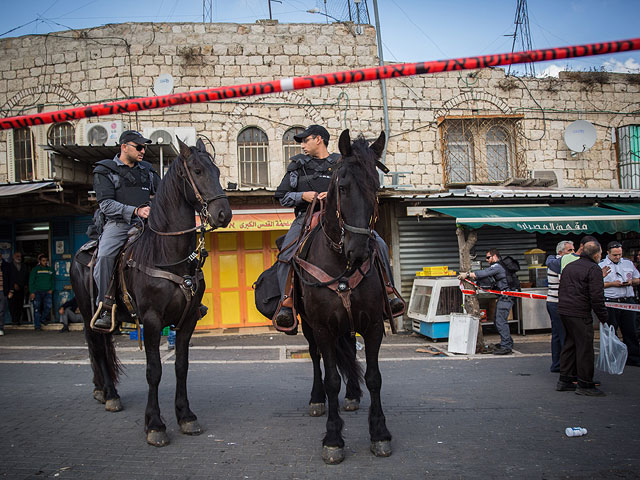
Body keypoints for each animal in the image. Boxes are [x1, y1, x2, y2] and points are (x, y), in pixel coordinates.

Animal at [71, 138, 231, 446]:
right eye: (197, 170)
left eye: (217, 171)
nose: (224, 214)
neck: (166, 254)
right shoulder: (153, 320)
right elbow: (154, 371)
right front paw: (155, 424)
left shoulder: (187, 321)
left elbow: (181, 366)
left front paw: (186, 416)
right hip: (89, 313)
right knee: (97, 347)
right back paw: (110, 394)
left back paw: (102, 389)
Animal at [292, 129, 392, 464]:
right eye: (344, 187)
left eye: (376, 188)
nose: (358, 252)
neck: (341, 265)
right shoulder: (323, 327)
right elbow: (331, 378)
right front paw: (334, 438)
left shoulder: (372, 325)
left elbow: (374, 377)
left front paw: (380, 433)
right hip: (309, 325)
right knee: (316, 358)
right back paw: (316, 399)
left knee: (348, 349)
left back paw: (352, 395)